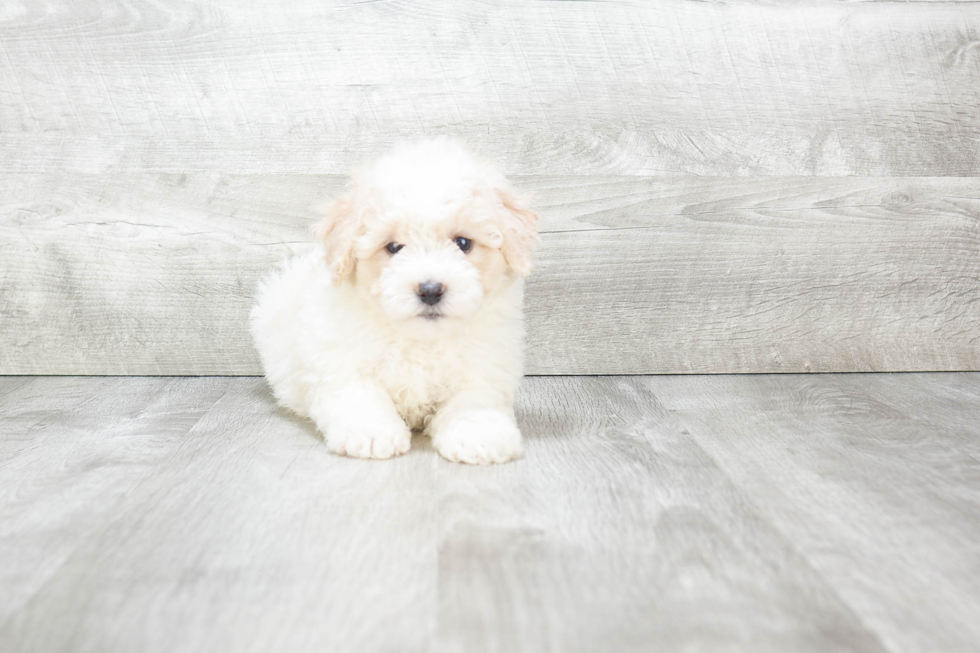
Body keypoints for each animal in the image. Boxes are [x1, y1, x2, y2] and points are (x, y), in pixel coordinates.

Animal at [249, 138, 540, 464]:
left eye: (463, 243)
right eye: (393, 247)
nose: (430, 290)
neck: (420, 340)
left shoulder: (484, 364)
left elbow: (473, 401)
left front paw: (479, 435)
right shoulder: (342, 361)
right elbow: (361, 395)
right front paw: (372, 434)